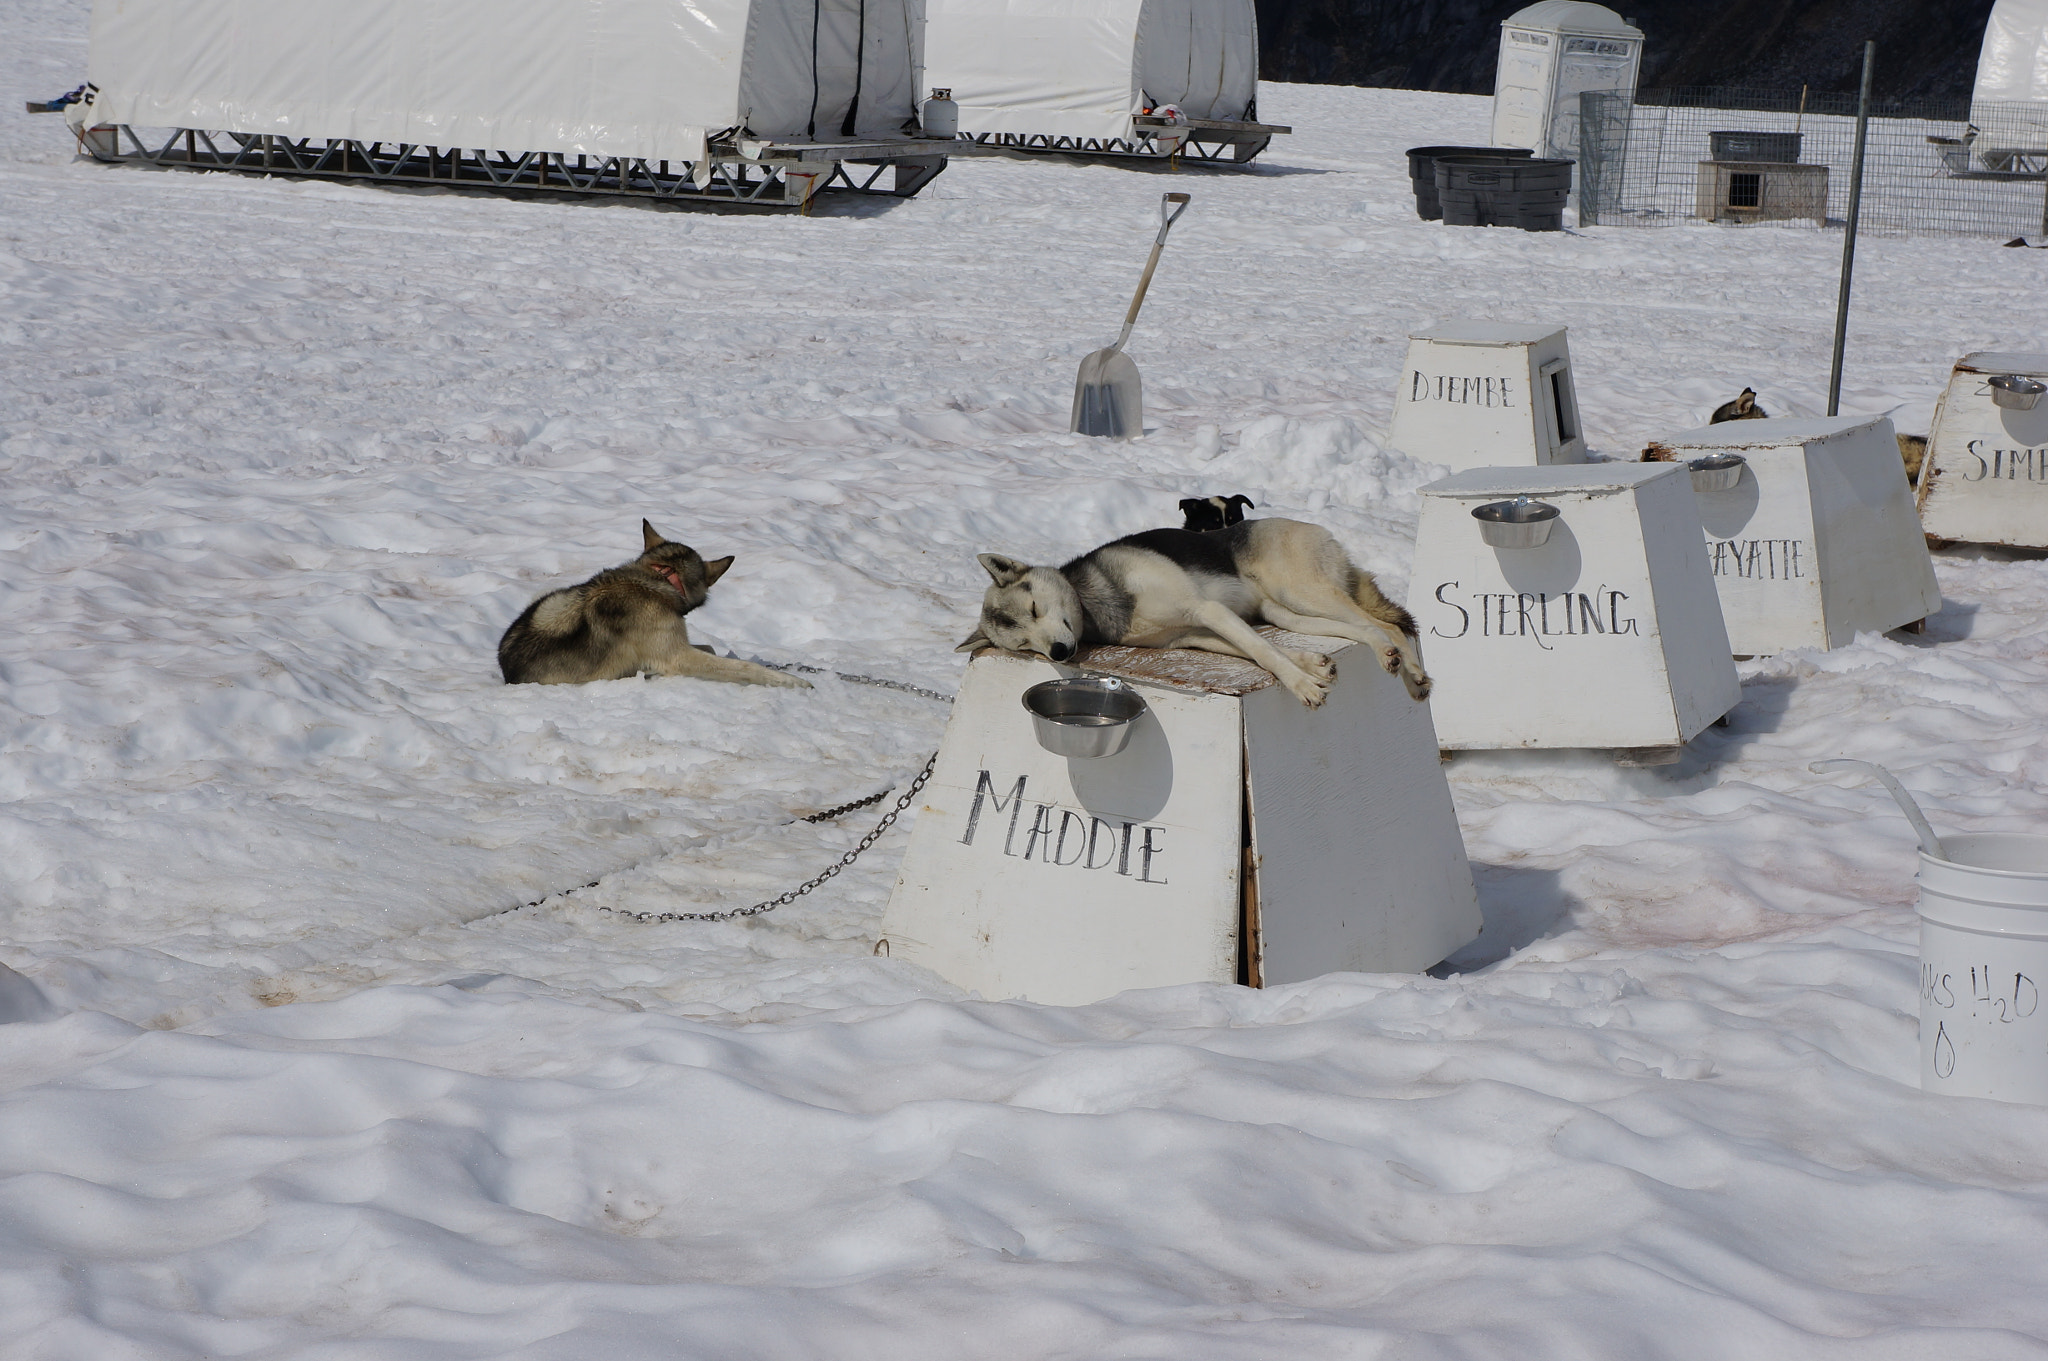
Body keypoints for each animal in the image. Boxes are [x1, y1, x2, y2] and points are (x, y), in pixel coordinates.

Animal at [499, 521, 811, 691]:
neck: (660, 578)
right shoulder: (679, 656)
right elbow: (744, 667)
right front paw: (791, 680)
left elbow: (710, 648)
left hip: (548, 599)